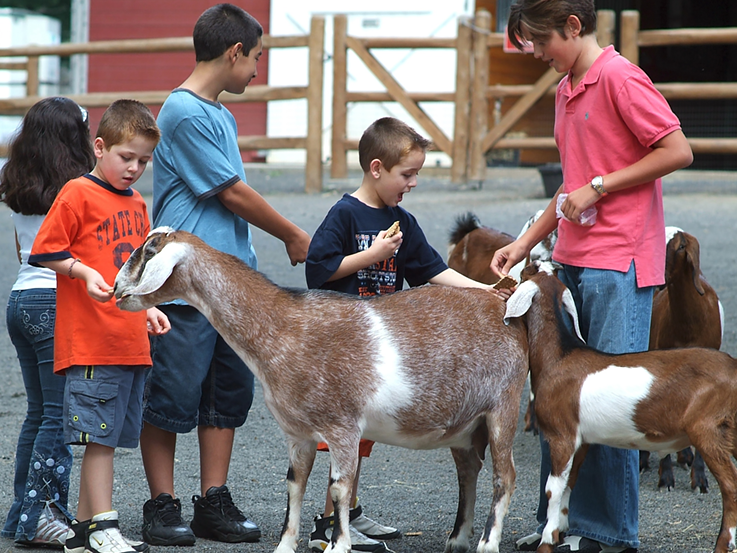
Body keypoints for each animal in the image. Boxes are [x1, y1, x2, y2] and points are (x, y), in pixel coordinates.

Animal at [113, 226, 528, 552]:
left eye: (149, 251)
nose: (116, 288)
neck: (285, 329)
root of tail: (504, 307)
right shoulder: (297, 432)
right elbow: (294, 484)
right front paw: (284, 545)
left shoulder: (343, 427)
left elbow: (339, 488)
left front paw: (338, 545)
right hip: (465, 425)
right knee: (469, 471)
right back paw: (458, 540)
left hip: (502, 406)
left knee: (505, 475)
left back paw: (487, 542)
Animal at [506, 262, 737, 552]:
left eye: (529, 269)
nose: (519, 266)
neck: (558, 358)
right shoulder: (582, 441)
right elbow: (570, 484)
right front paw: (561, 532)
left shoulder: (561, 437)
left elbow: (553, 489)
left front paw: (547, 541)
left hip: (709, 430)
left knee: (731, 488)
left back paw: (723, 544)